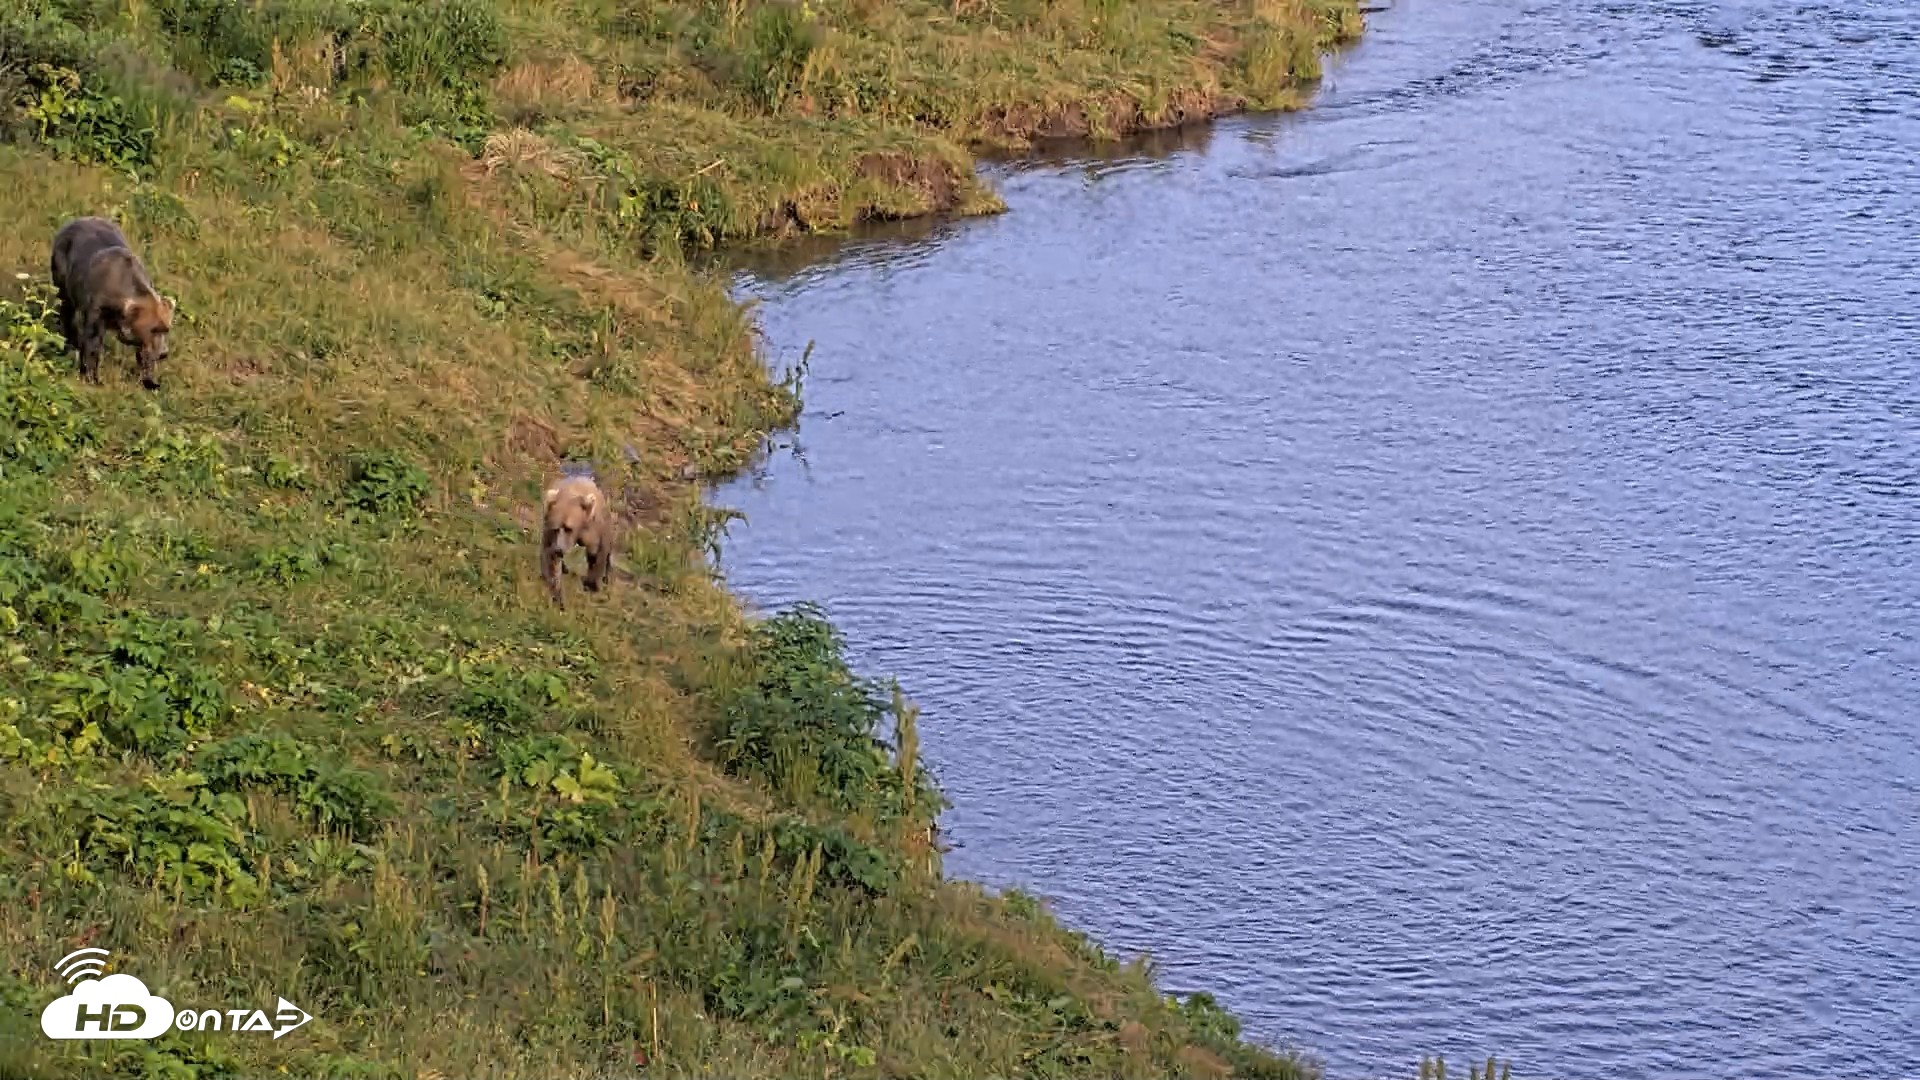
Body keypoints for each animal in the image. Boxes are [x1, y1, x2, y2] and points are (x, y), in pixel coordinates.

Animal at [49, 216, 175, 390]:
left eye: (166, 329)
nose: (164, 353)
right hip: (63, 269)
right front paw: (92, 377)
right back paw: (71, 338)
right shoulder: (98, 306)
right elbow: (93, 340)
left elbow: (144, 354)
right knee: (66, 305)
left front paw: (150, 381)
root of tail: (74, 220)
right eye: (154, 329)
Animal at [541, 469, 616, 606]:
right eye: (556, 529)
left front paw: (591, 584)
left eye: (568, 528)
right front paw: (557, 595)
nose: (559, 550)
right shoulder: (549, 528)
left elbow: (597, 553)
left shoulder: (594, 529)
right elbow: (551, 560)